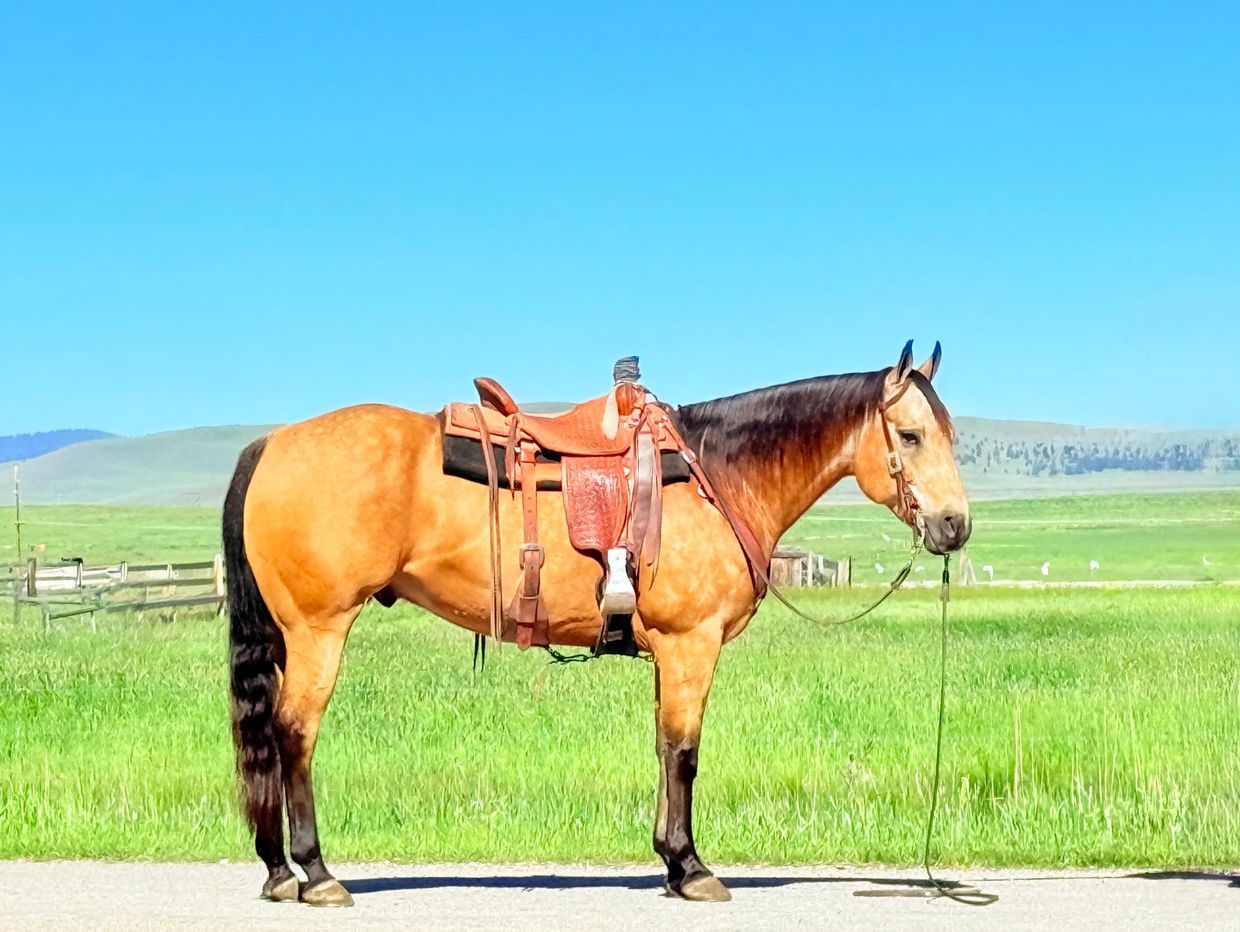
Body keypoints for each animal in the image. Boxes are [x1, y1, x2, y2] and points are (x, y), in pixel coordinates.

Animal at [225, 340, 970, 906]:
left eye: (951, 435)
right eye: (910, 436)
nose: (955, 525)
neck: (718, 474)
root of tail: (273, 443)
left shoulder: (668, 653)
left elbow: (663, 749)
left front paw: (669, 861)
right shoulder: (691, 645)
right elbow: (685, 753)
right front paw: (692, 868)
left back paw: (278, 871)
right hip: (319, 630)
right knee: (294, 735)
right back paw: (315, 872)